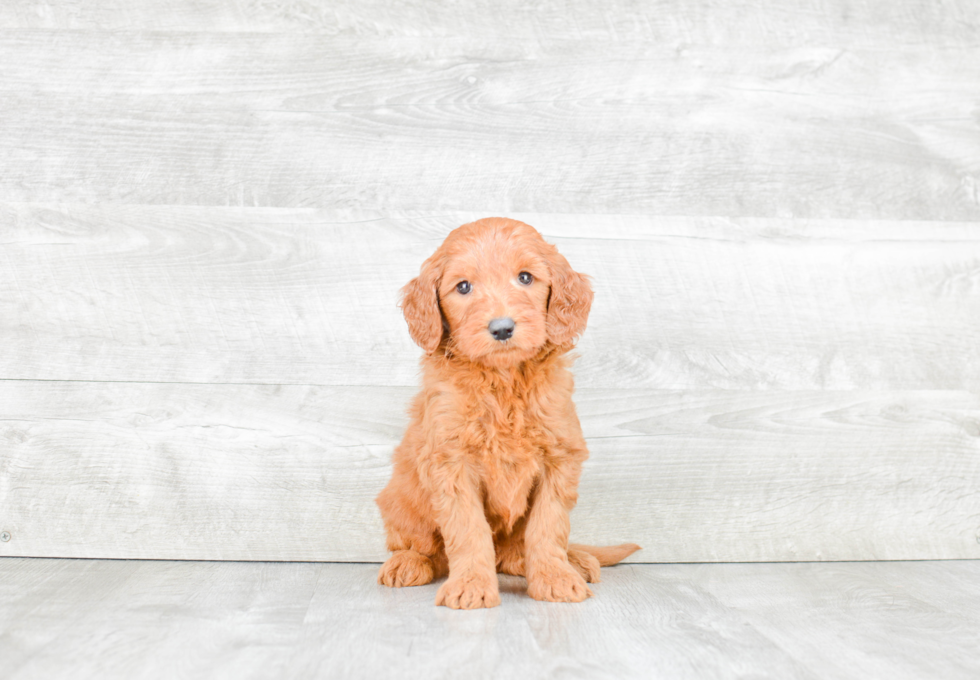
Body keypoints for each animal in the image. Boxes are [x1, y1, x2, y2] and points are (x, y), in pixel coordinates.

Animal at [374, 219, 636, 612]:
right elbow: (469, 529)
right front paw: (470, 585)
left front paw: (555, 578)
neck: (503, 380)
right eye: (463, 286)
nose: (501, 328)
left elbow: (548, 526)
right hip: (401, 498)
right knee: (422, 548)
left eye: (525, 278)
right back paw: (408, 562)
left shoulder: (559, 458)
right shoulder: (451, 462)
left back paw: (570, 561)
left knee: (515, 554)